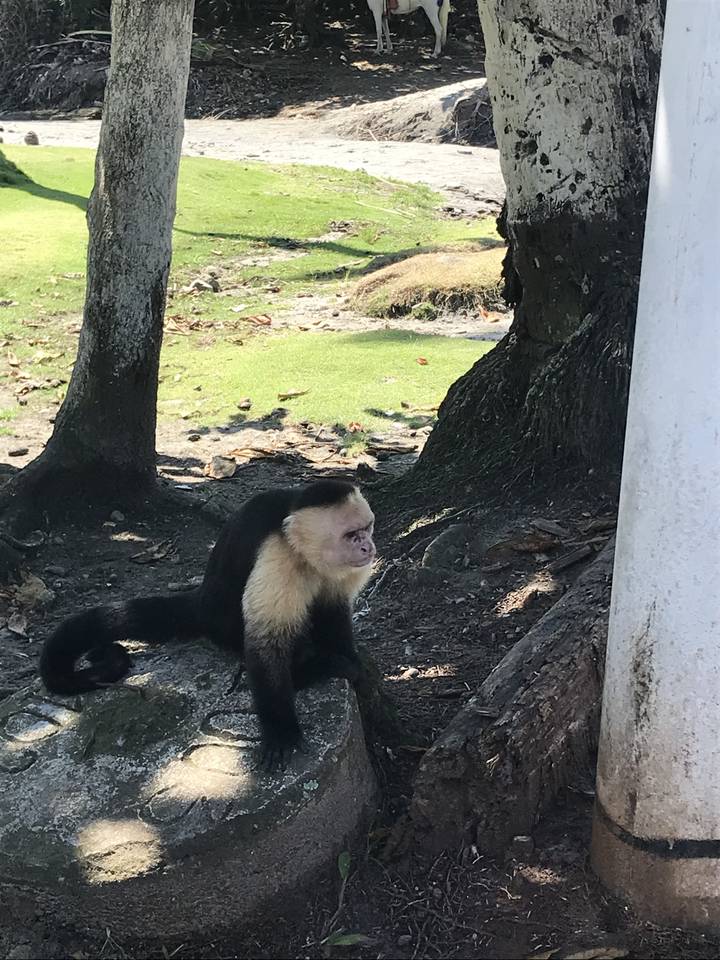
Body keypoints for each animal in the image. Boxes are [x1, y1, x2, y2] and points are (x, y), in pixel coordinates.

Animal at [39, 480, 376, 768]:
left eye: (367, 528)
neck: (302, 551)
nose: (368, 547)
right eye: (351, 535)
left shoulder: (341, 570)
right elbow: (265, 644)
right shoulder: (277, 555)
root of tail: (203, 601)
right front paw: (281, 731)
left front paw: (356, 667)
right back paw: (313, 667)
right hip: (224, 626)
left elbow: (333, 610)